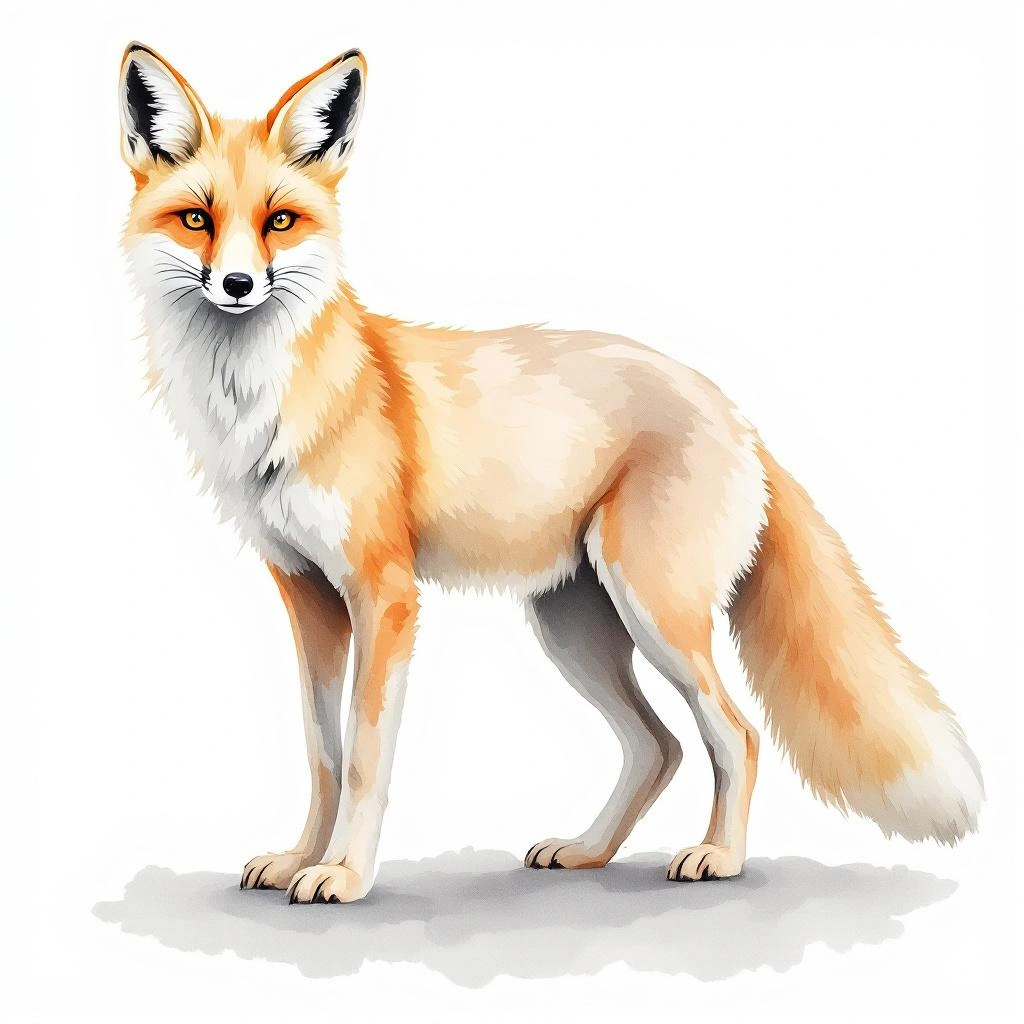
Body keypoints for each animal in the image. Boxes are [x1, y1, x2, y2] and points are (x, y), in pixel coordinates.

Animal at [118, 43, 983, 905]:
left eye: (279, 221)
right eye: (197, 218)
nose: (237, 285)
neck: (263, 407)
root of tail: (733, 411)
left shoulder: (384, 592)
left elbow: (364, 759)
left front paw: (346, 874)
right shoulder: (308, 593)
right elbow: (321, 753)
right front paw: (301, 858)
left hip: (655, 614)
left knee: (735, 735)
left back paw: (720, 857)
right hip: (575, 629)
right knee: (659, 747)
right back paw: (589, 851)